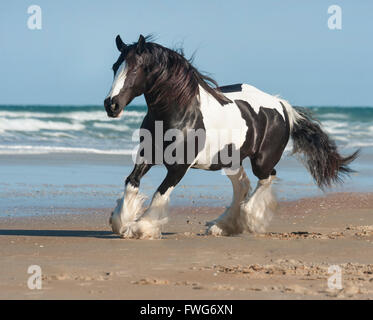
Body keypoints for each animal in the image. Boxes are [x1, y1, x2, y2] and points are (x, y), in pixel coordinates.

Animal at [102, 34, 358, 240]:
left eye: (137, 68)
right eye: (115, 67)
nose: (111, 105)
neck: (180, 113)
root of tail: (281, 106)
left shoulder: (179, 166)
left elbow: (160, 194)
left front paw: (141, 227)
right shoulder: (147, 154)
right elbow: (132, 182)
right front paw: (121, 221)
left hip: (262, 161)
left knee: (266, 179)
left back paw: (248, 219)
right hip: (231, 160)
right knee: (243, 185)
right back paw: (223, 226)